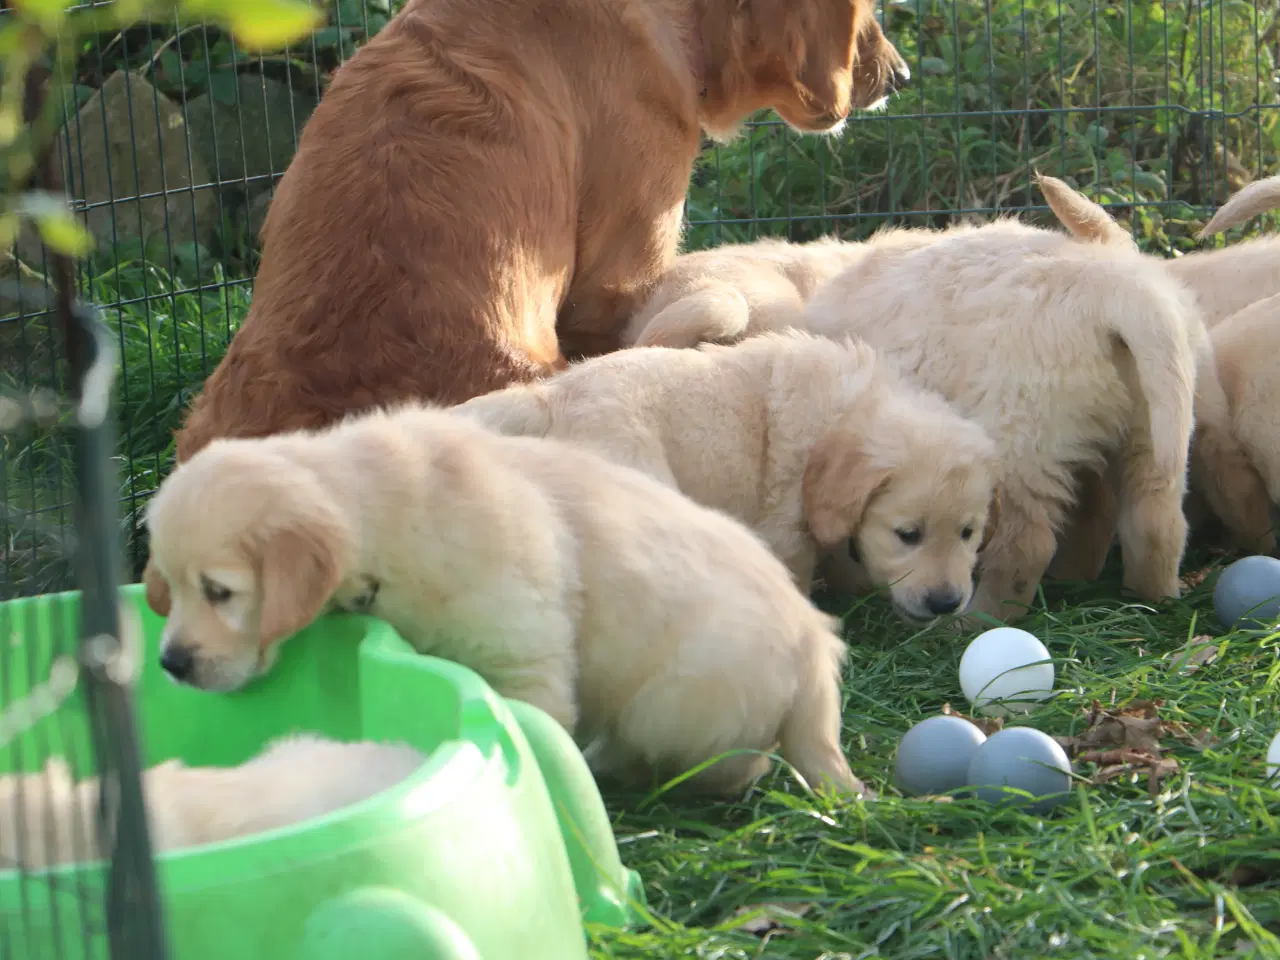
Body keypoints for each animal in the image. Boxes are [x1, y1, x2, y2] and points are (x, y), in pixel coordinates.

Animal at [142, 407, 870, 798]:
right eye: (171, 586)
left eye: (220, 592)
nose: (171, 664)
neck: (383, 516)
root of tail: (816, 647)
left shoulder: (522, 650)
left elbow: (535, 722)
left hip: (673, 703)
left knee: (734, 763)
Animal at [450, 332, 998, 624]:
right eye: (908, 534)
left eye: (968, 533)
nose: (947, 603)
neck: (842, 413)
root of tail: (550, 396)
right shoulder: (788, 526)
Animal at [803, 199, 1203, 627]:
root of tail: (1114, 287)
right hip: (1152, 423)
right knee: (1155, 520)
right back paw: (1148, 598)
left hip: (1020, 438)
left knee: (1024, 545)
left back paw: (978, 620)